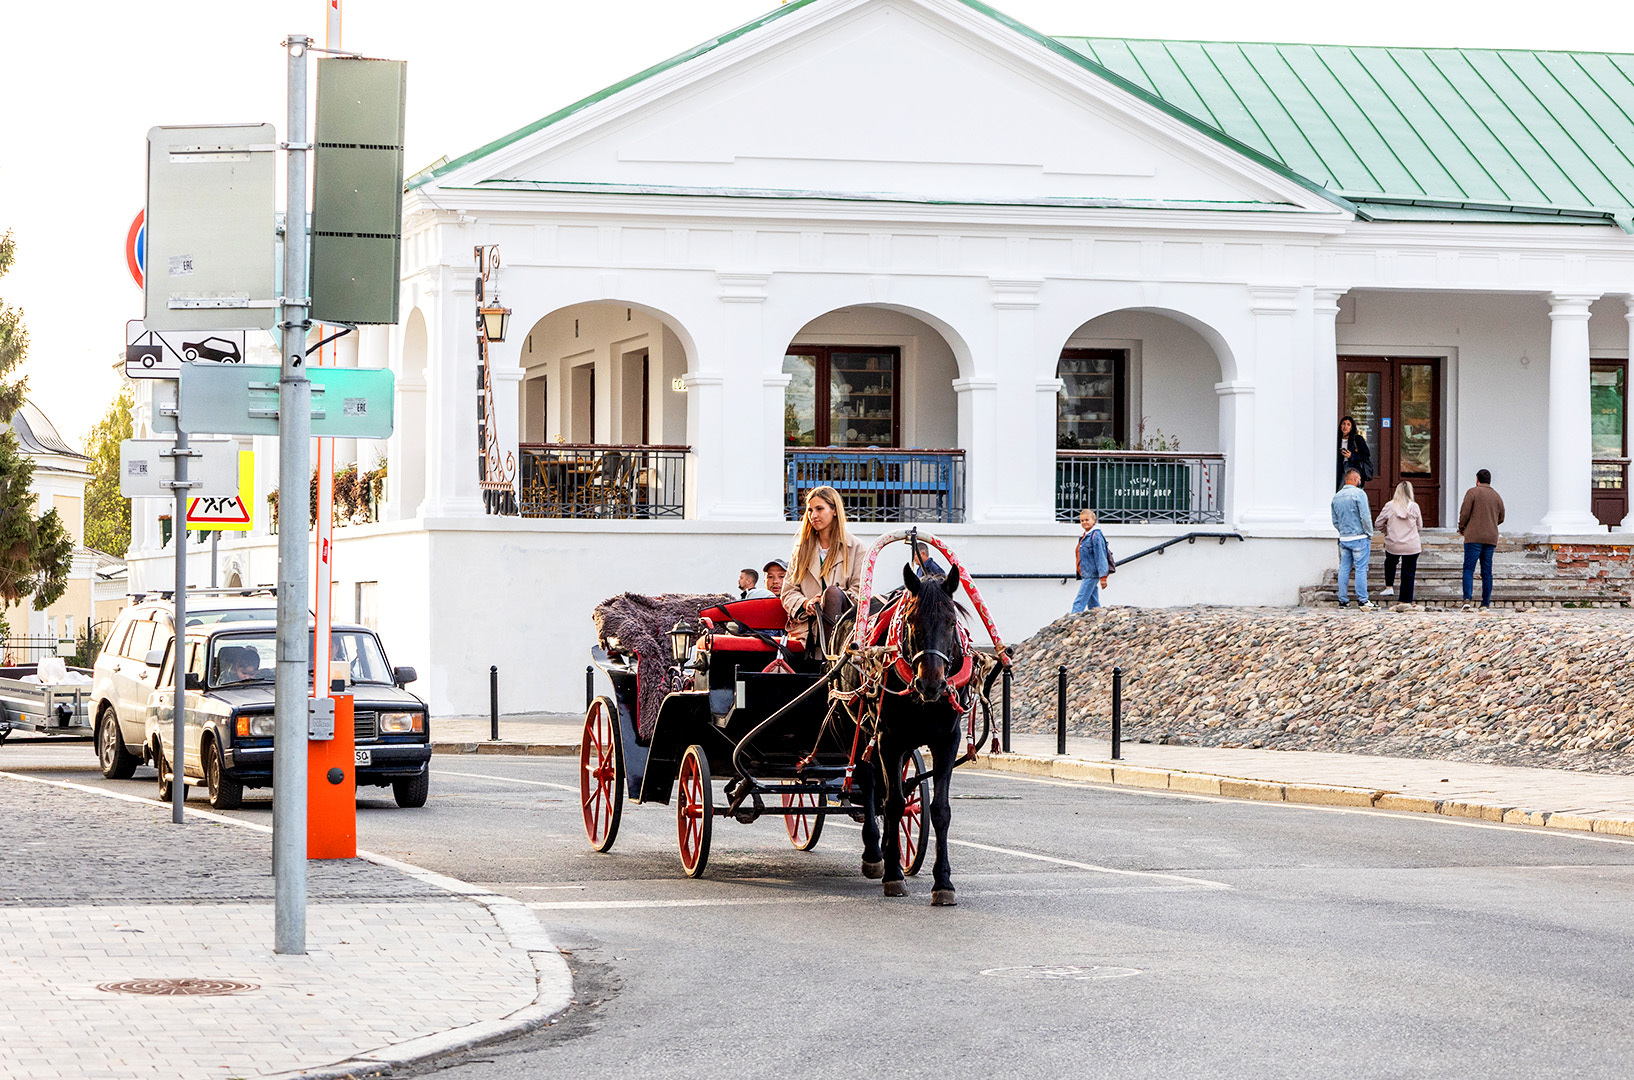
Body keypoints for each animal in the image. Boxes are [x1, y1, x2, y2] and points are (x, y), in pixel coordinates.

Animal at [856, 558, 967, 908]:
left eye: (951, 621)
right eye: (910, 620)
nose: (931, 683)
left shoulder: (947, 741)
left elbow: (940, 811)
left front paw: (943, 882)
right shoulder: (888, 739)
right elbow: (892, 803)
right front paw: (893, 875)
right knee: (870, 783)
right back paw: (875, 853)